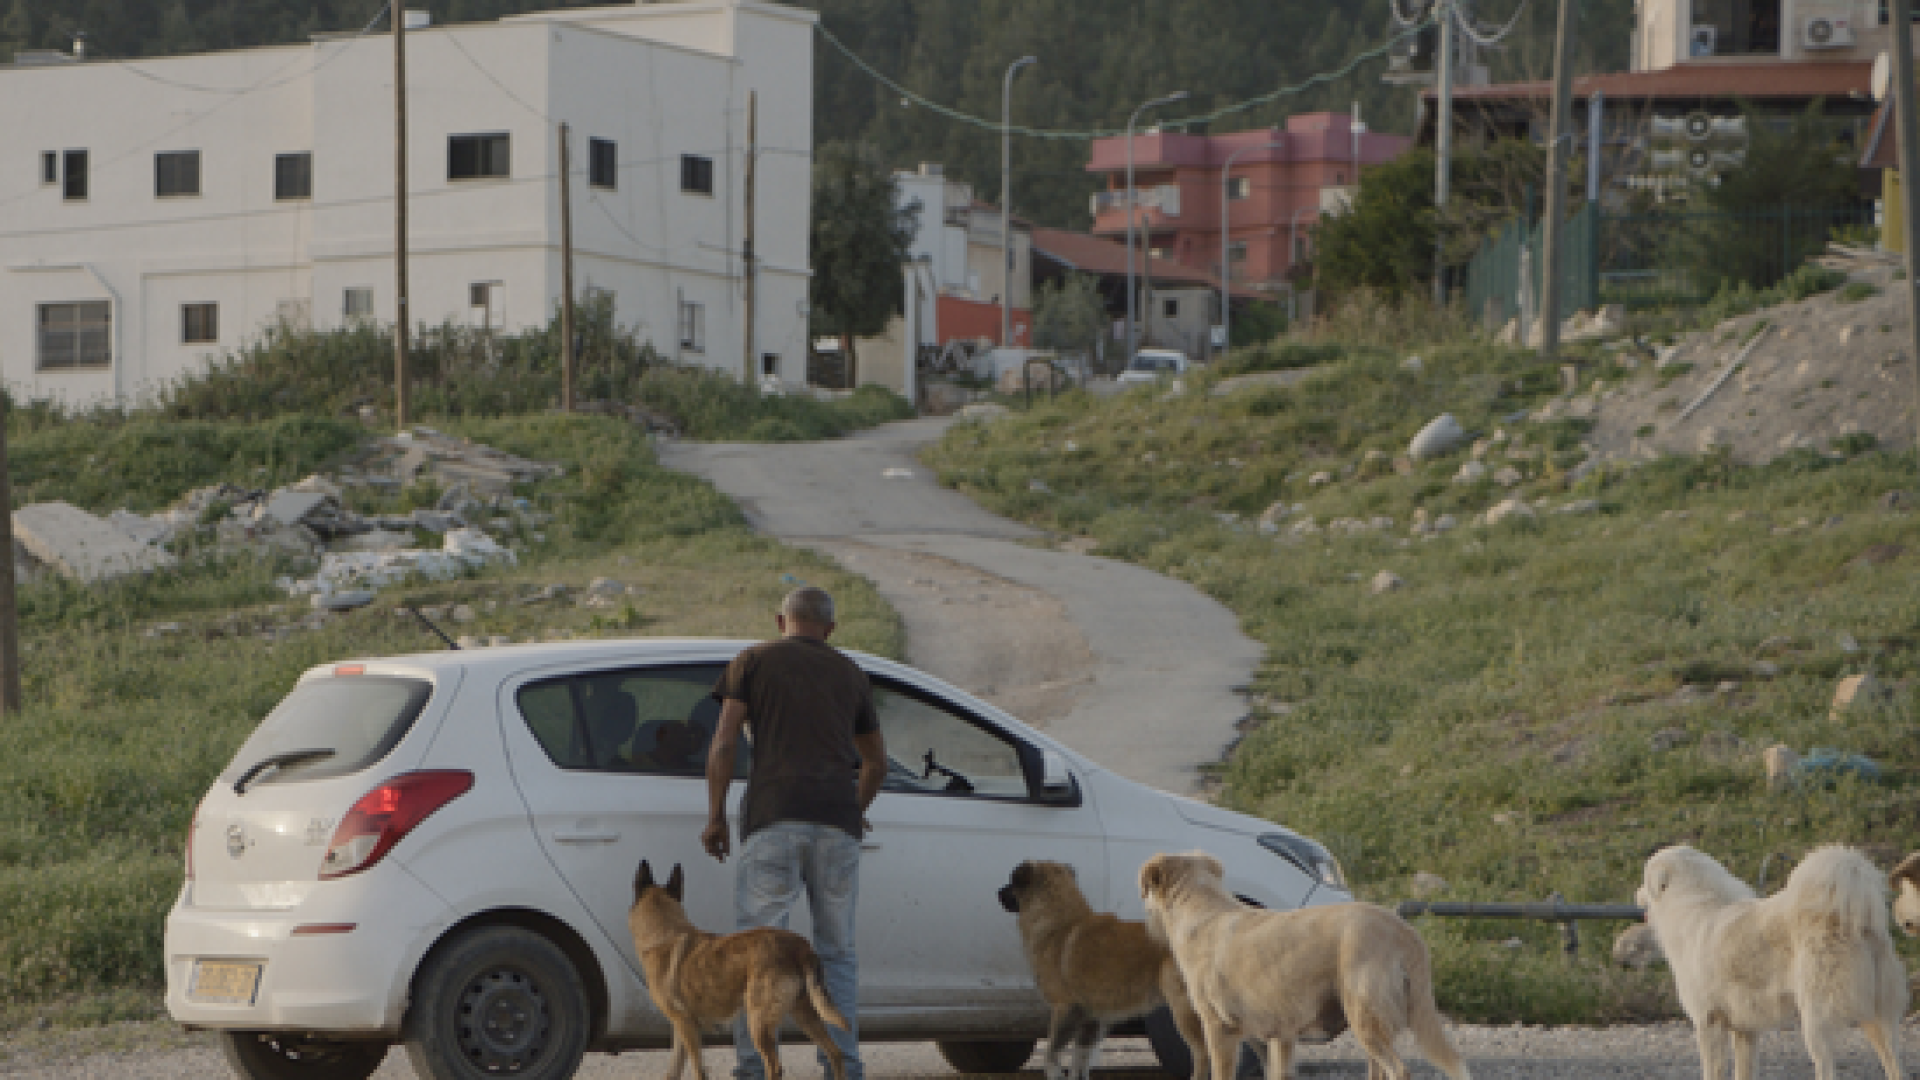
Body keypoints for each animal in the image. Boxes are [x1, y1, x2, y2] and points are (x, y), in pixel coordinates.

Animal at [629, 857, 848, 1076]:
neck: (663, 934)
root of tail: (800, 946)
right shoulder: (680, 1027)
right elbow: (673, 1071)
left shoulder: (686, 1026)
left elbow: (698, 1070)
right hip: (805, 1015)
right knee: (835, 1052)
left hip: (759, 1023)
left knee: (775, 1067)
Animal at [998, 857, 1205, 1076]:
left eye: (1011, 883)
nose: (997, 892)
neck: (1059, 924)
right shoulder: (1091, 1021)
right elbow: (1079, 1066)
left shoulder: (1064, 1009)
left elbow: (1051, 1055)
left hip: (1185, 1011)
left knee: (1203, 1056)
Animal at [1128, 849, 1459, 1076]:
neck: (1201, 910)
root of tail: (1402, 929)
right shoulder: (1276, 1038)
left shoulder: (1218, 1029)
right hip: (1371, 1025)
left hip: (1366, 1019)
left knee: (1399, 1071)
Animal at [1635, 841, 1904, 1076]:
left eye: (1644, 879)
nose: (1636, 894)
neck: (1695, 904)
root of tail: (1855, 922)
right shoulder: (1745, 1030)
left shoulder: (1708, 1023)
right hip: (1876, 1019)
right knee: (1894, 1064)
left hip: (1816, 1023)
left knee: (1826, 1069)